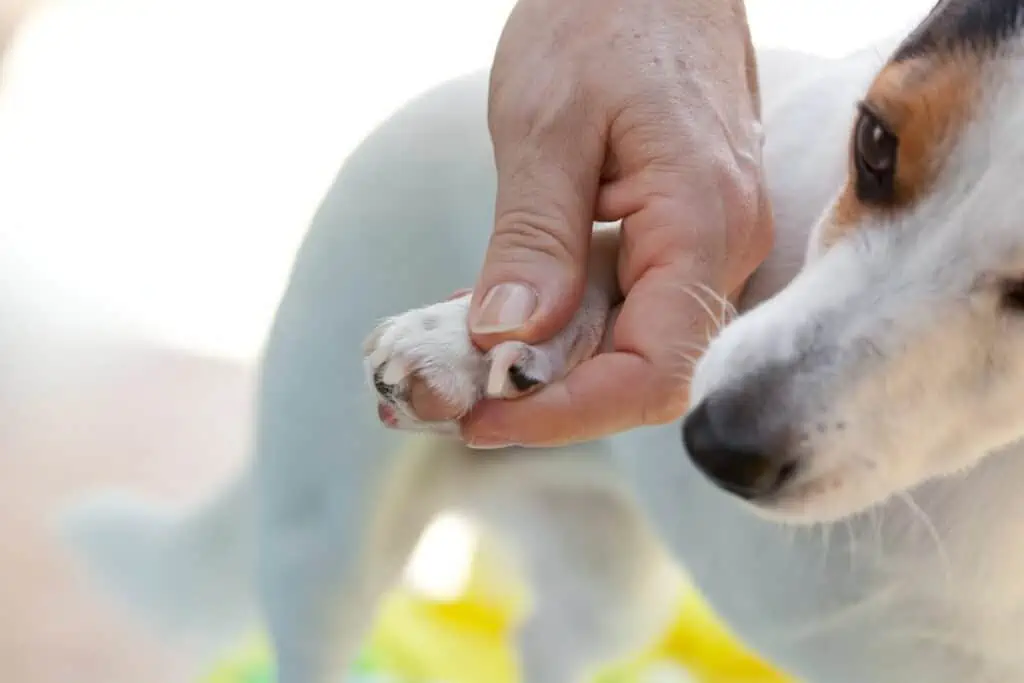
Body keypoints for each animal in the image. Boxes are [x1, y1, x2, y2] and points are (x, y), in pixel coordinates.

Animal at [61, 2, 1024, 679]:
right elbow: (618, 247)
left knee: (545, 640)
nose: (714, 443)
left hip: (612, 585)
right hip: (325, 548)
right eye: (875, 143)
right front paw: (477, 339)